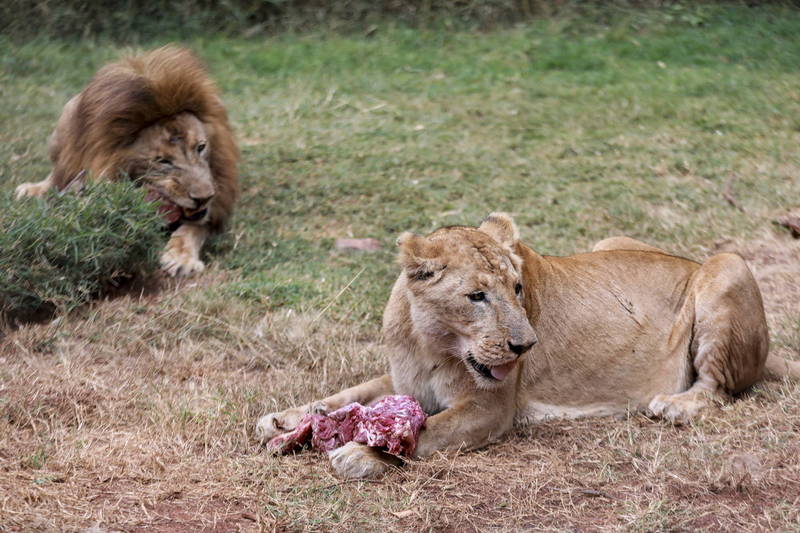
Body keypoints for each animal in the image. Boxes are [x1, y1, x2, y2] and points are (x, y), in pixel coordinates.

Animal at [15, 45, 238, 276]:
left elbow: (192, 228)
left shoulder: (214, 209)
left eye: (201, 147)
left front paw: (181, 258)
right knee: (59, 171)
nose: (204, 197)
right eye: (162, 161)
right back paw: (33, 189)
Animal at [258, 212, 800, 478]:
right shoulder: (402, 379)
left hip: (727, 266)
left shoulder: (489, 410)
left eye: (518, 288)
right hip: (610, 241)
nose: (526, 346)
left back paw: (678, 405)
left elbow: (426, 432)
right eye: (476, 296)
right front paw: (286, 420)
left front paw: (362, 454)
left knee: (719, 387)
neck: (430, 341)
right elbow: (349, 394)